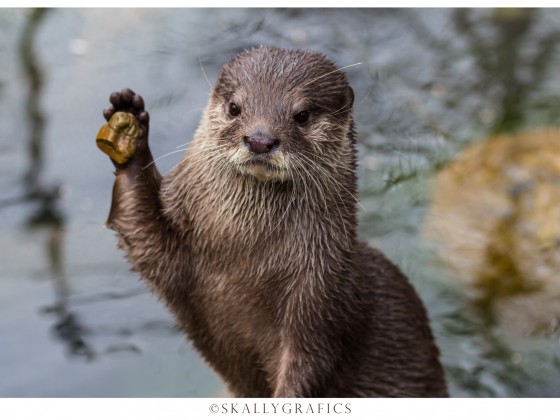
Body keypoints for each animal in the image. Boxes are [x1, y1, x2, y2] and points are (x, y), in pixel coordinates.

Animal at [95, 46, 446, 398]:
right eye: (235, 108)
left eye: (302, 115)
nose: (260, 139)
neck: (243, 257)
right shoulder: (175, 258)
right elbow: (139, 232)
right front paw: (130, 125)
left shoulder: (323, 297)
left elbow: (311, 367)